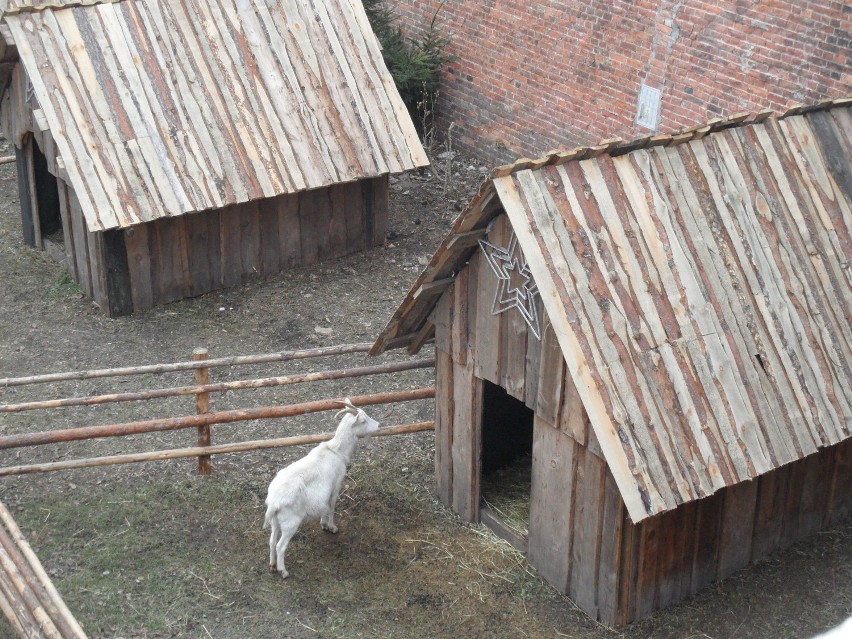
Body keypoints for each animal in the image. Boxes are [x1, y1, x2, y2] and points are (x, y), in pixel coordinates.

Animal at [262, 398, 378, 576]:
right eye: (363, 420)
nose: (378, 425)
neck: (337, 451)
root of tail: (274, 502)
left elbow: (325, 506)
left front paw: (323, 524)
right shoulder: (336, 486)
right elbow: (331, 506)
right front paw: (331, 527)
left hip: (276, 521)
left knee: (271, 541)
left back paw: (273, 565)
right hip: (290, 522)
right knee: (280, 546)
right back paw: (283, 571)